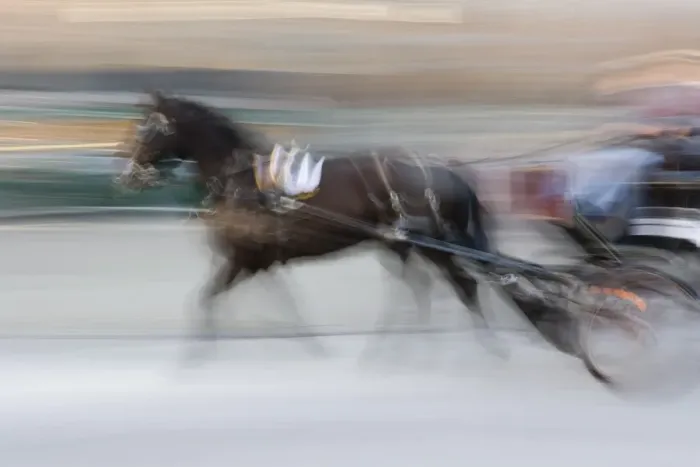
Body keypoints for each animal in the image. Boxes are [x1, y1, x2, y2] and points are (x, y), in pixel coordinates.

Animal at [115, 91, 498, 356]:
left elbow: (209, 298)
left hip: (430, 244)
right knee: (419, 287)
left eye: (148, 130)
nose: (128, 176)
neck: (242, 180)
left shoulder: (245, 258)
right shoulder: (257, 259)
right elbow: (277, 303)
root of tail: (444, 170)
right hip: (397, 243)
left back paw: (484, 349)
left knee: (463, 285)